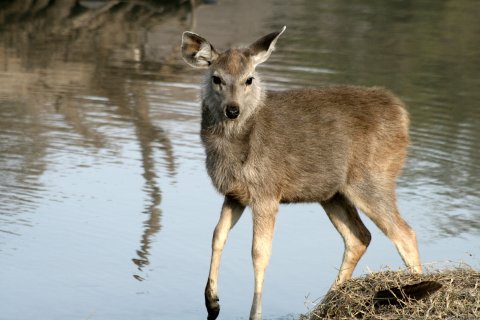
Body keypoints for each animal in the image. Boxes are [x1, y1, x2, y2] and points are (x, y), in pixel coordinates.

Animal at [182, 26, 422, 320]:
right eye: (216, 78)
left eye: (249, 79)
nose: (232, 110)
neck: (233, 150)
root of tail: (401, 114)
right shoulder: (235, 193)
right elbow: (217, 236)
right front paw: (212, 300)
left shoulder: (267, 191)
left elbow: (259, 252)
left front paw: (254, 313)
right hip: (333, 193)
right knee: (359, 237)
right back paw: (327, 303)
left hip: (373, 179)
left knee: (405, 233)